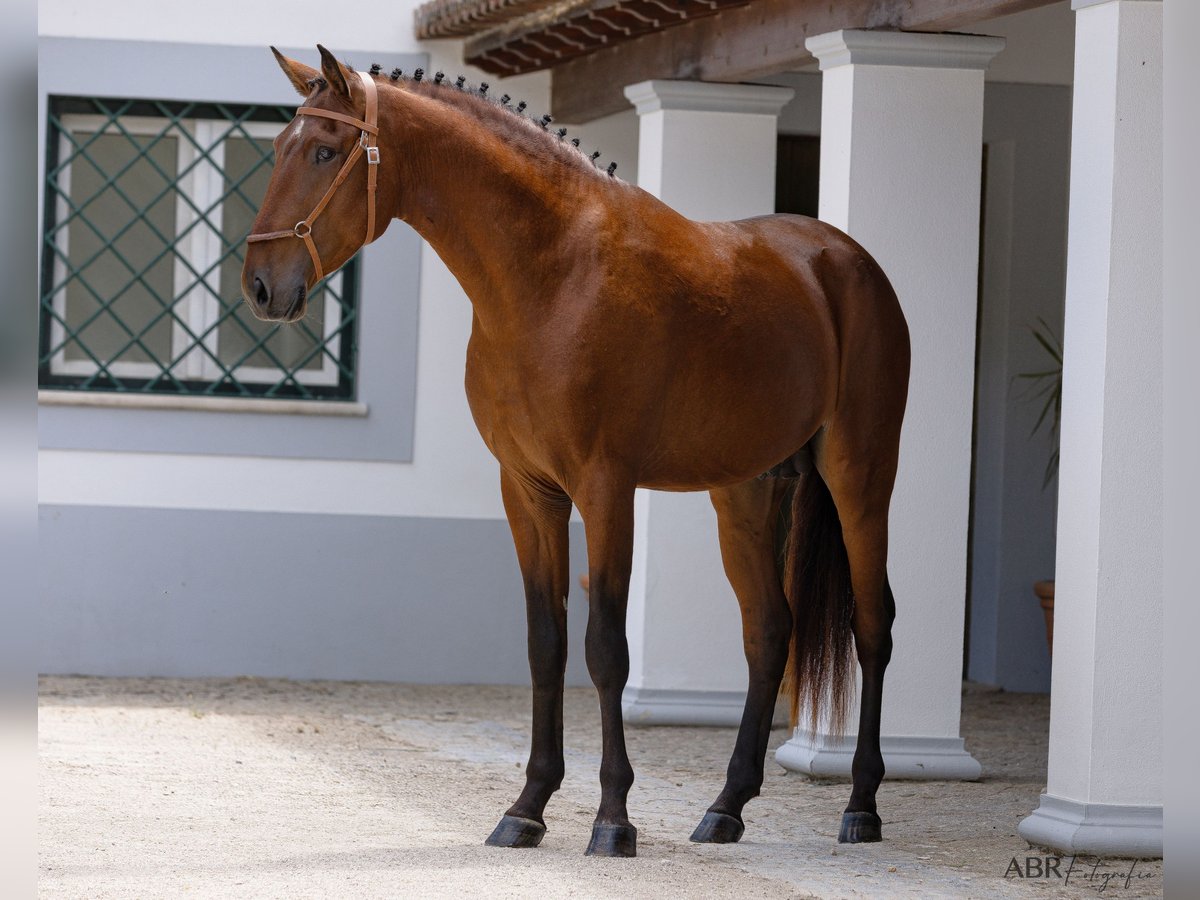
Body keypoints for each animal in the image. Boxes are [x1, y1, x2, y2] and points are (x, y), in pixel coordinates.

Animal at [243, 47, 907, 859]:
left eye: (323, 151)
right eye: (280, 145)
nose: (261, 286)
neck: (551, 275)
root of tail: (848, 262)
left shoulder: (605, 488)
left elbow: (605, 649)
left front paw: (613, 818)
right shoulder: (528, 490)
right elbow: (546, 643)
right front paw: (527, 807)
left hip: (861, 477)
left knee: (872, 625)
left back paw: (863, 804)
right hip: (744, 492)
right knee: (768, 631)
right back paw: (726, 807)